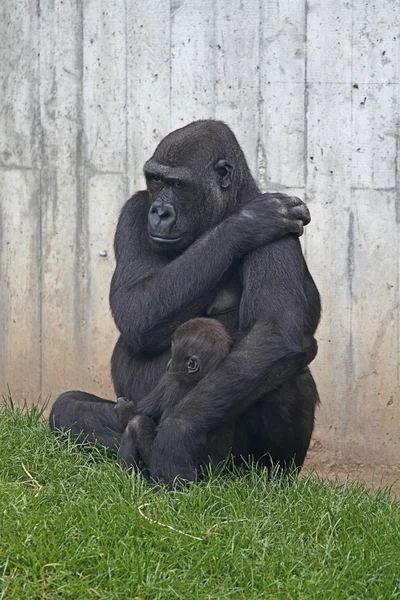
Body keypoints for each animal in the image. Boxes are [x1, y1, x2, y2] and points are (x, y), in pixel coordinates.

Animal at [119, 318, 236, 474]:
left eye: (173, 355)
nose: (168, 364)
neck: (197, 376)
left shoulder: (169, 380)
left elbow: (133, 413)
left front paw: (123, 408)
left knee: (137, 424)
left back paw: (125, 474)